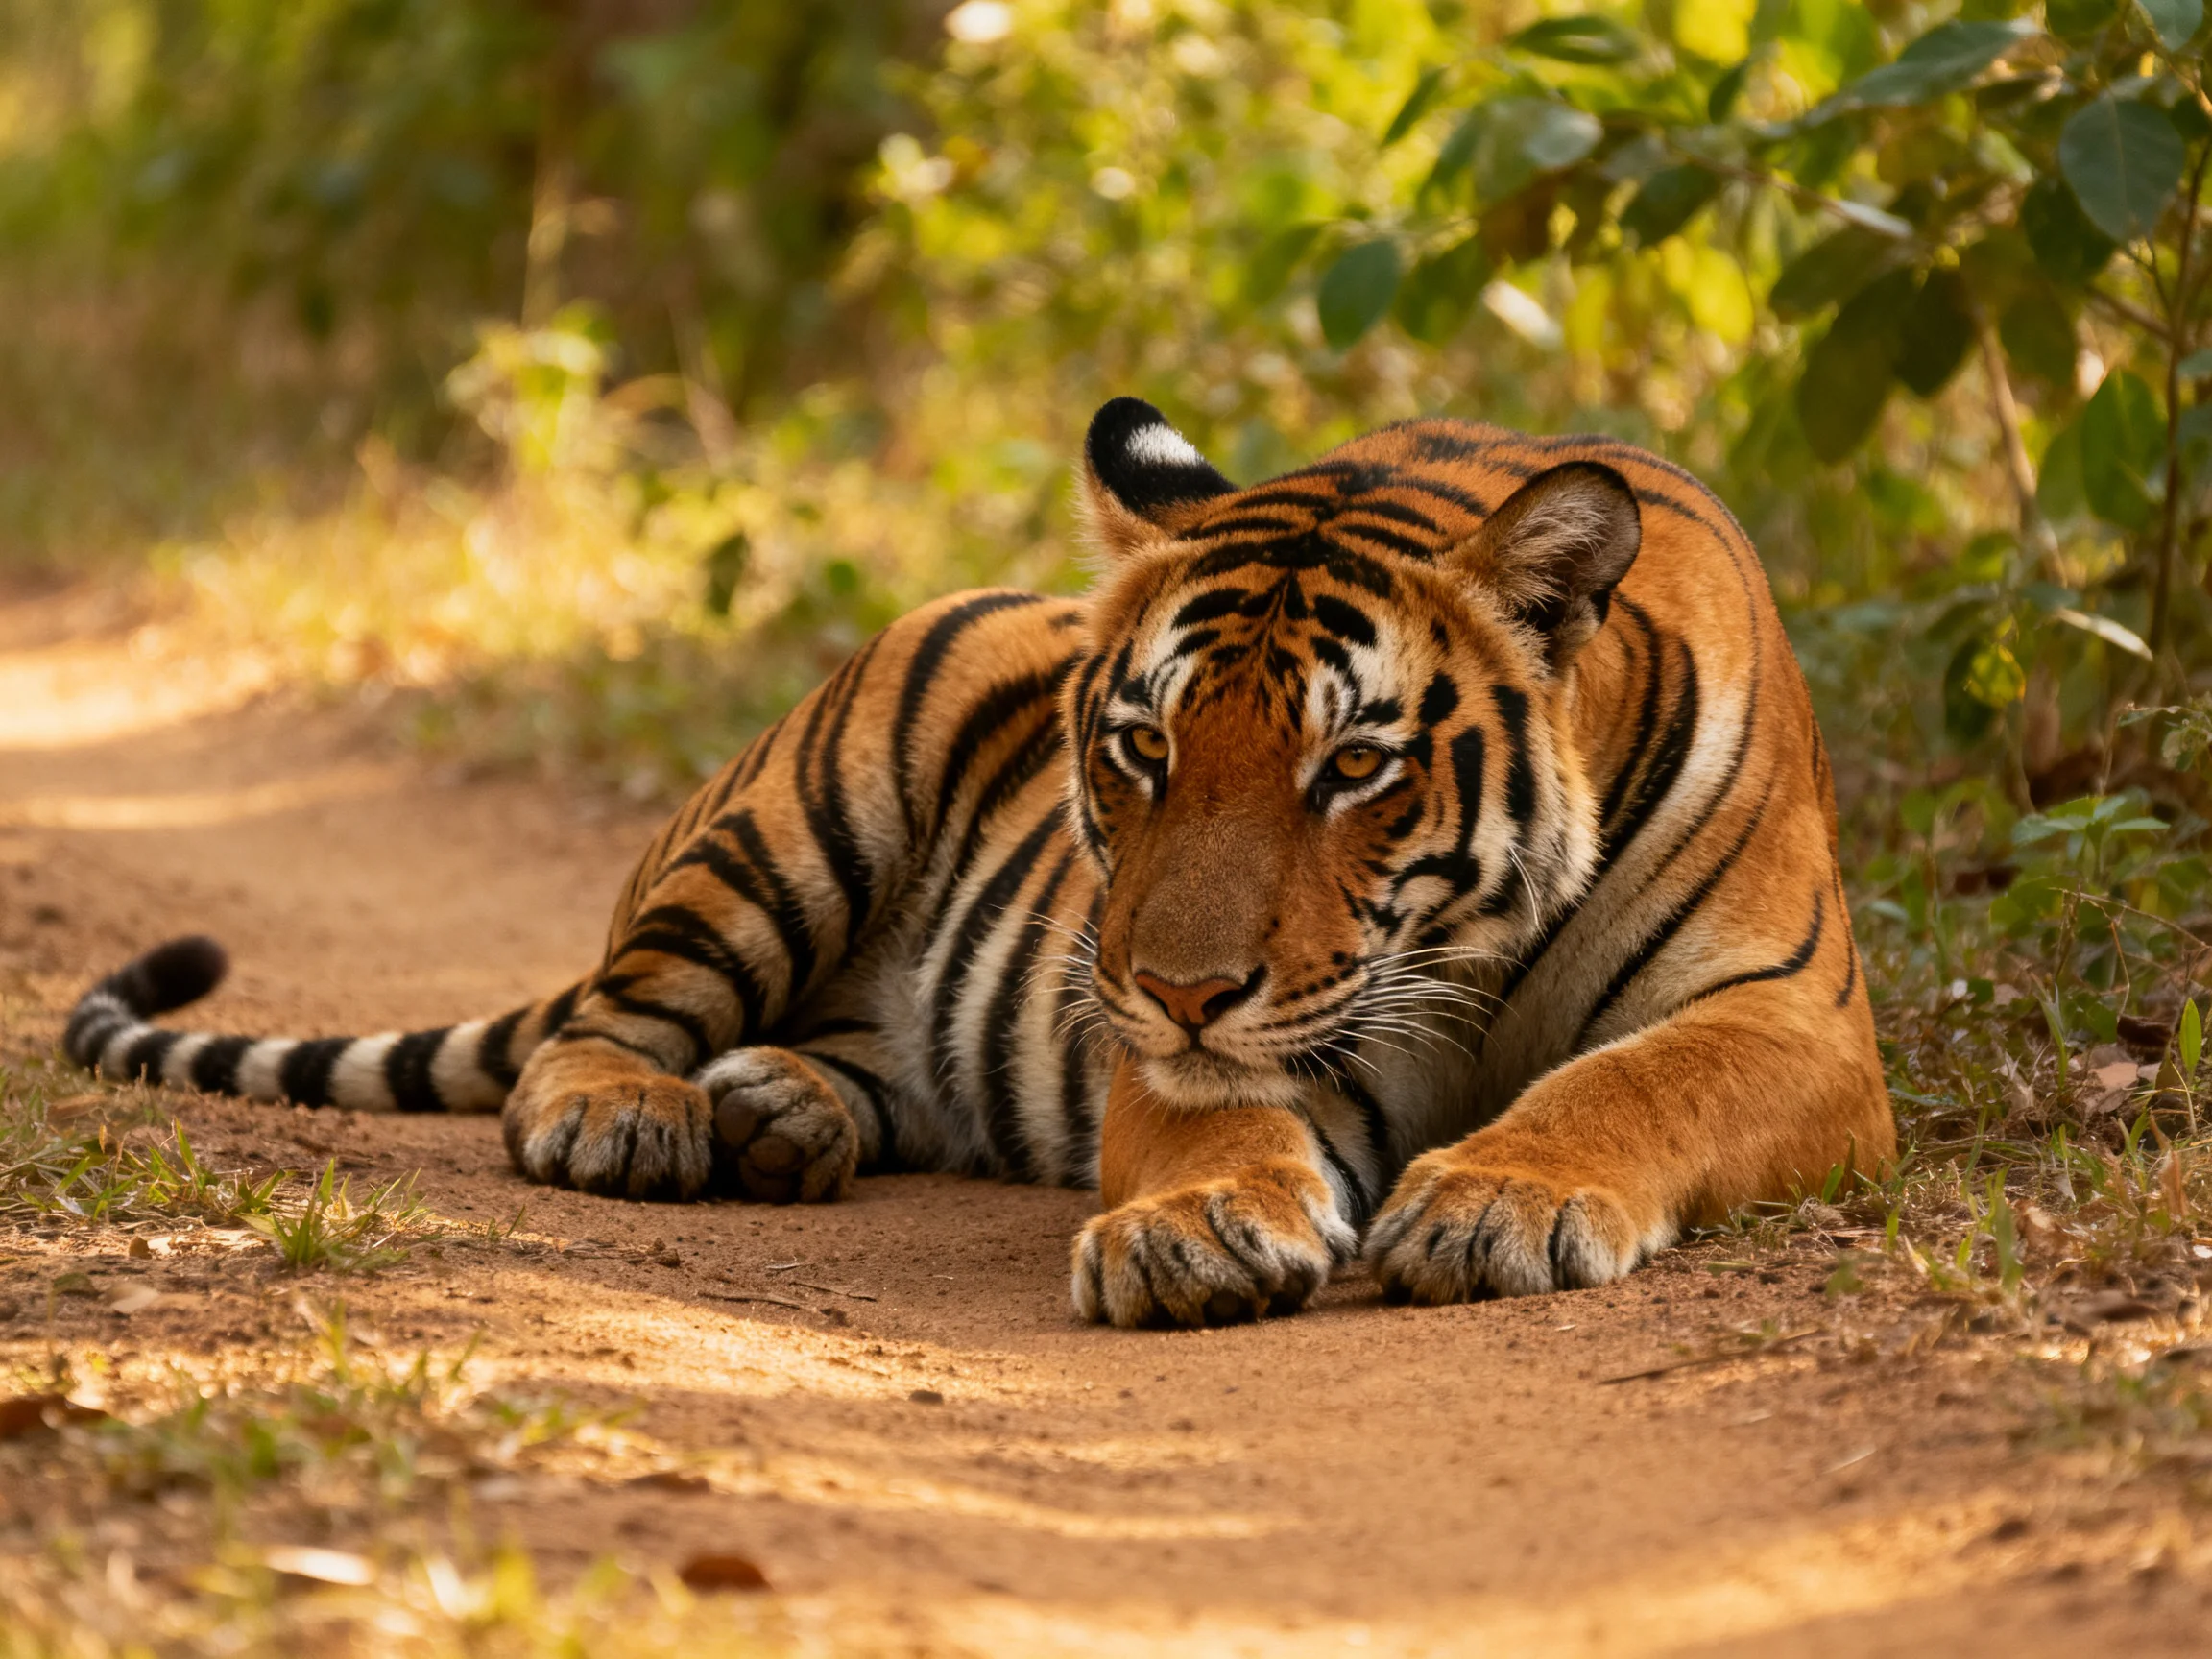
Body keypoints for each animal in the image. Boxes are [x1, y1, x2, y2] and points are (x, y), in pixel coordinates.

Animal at [64, 398, 1893, 1328]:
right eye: (1145, 747)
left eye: (1352, 767)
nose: (1171, 983)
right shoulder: (1210, 1035)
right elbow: (1212, 1111)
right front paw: (1192, 1232)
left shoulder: (1792, 1022)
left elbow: (1633, 1082)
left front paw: (1495, 1199)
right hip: (803, 802)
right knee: (599, 1018)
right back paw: (635, 1114)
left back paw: (778, 1111)